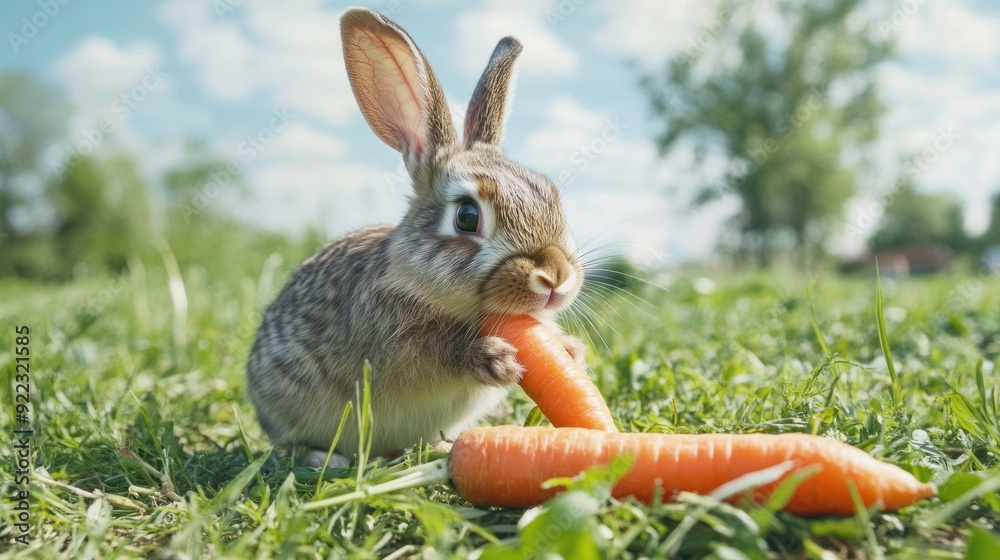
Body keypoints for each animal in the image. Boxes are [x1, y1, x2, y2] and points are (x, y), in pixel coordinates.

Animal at [246, 7, 586, 468]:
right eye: (466, 216)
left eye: (551, 195)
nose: (555, 277)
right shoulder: (391, 344)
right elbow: (433, 357)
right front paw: (494, 358)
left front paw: (570, 352)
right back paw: (325, 459)